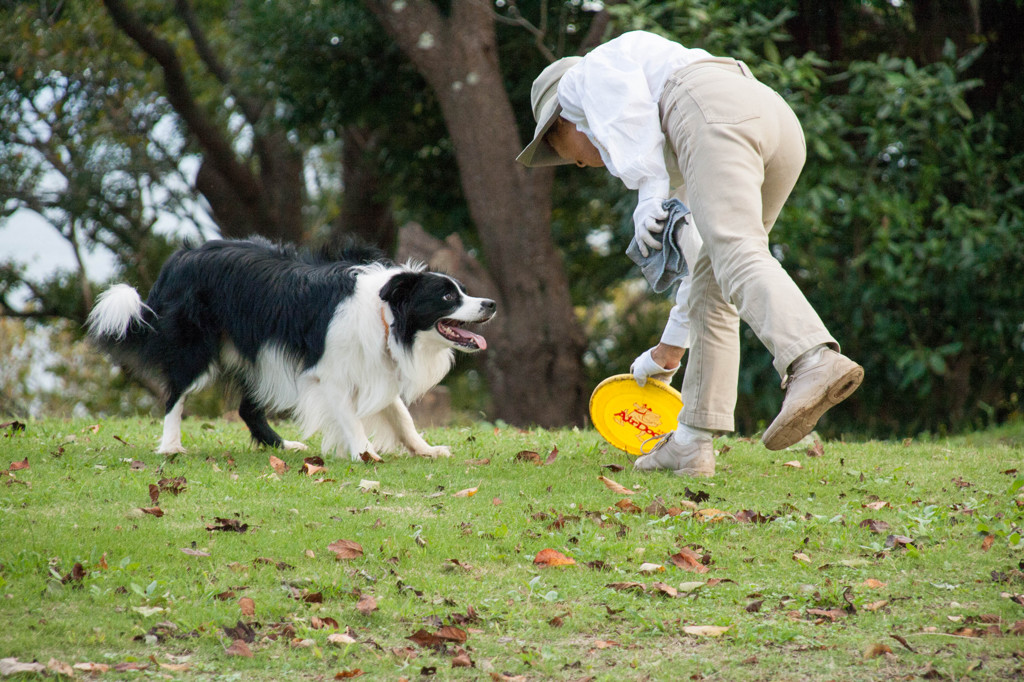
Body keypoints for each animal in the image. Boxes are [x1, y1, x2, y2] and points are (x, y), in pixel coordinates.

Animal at [90, 236, 497, 458]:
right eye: (447, 296)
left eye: (463, 290)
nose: (490, 303)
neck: (387, 313)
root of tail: (180, 257)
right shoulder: (329, 373)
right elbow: (350, 416)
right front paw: (365, 454)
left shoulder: (372, 366)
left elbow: (401, 415)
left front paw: (425, 449)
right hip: (197, 346)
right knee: (175, 394)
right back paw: (171, 446)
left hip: (256, 353)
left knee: (247, 408)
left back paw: (282, 447)